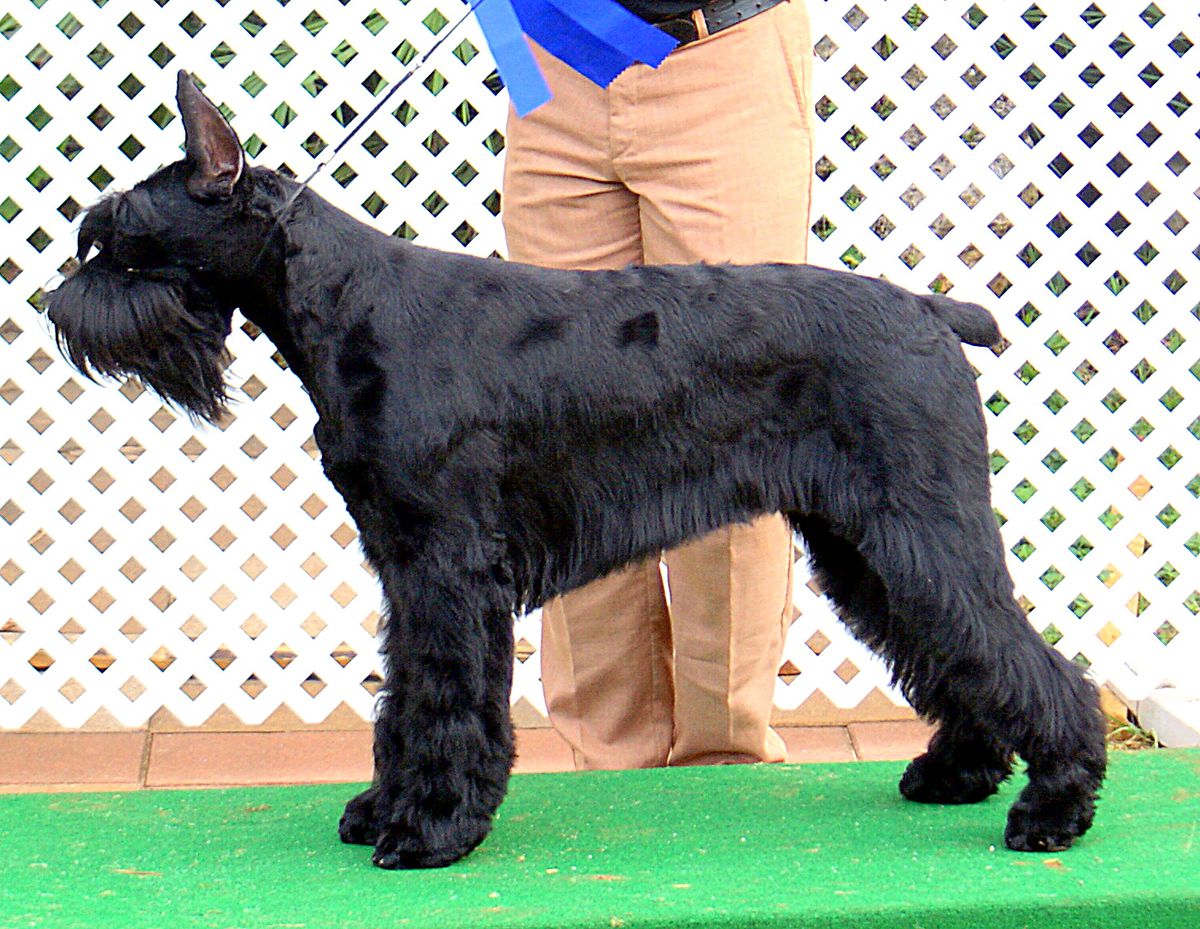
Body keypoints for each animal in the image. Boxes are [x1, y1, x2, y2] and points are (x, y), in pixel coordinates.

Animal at [46, 74, 1099, 873]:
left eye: (123, 240)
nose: (59, 310)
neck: (346, 302)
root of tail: (931, 309)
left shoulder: (450, 563)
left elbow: (447, 694)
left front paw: (428, 828)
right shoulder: (405, 563)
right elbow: (405, 690)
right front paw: (382, 804)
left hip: (918, 524)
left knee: (1020, 653)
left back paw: (1053, 807)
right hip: (867, 544)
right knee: (960, 647)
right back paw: (957, 773)